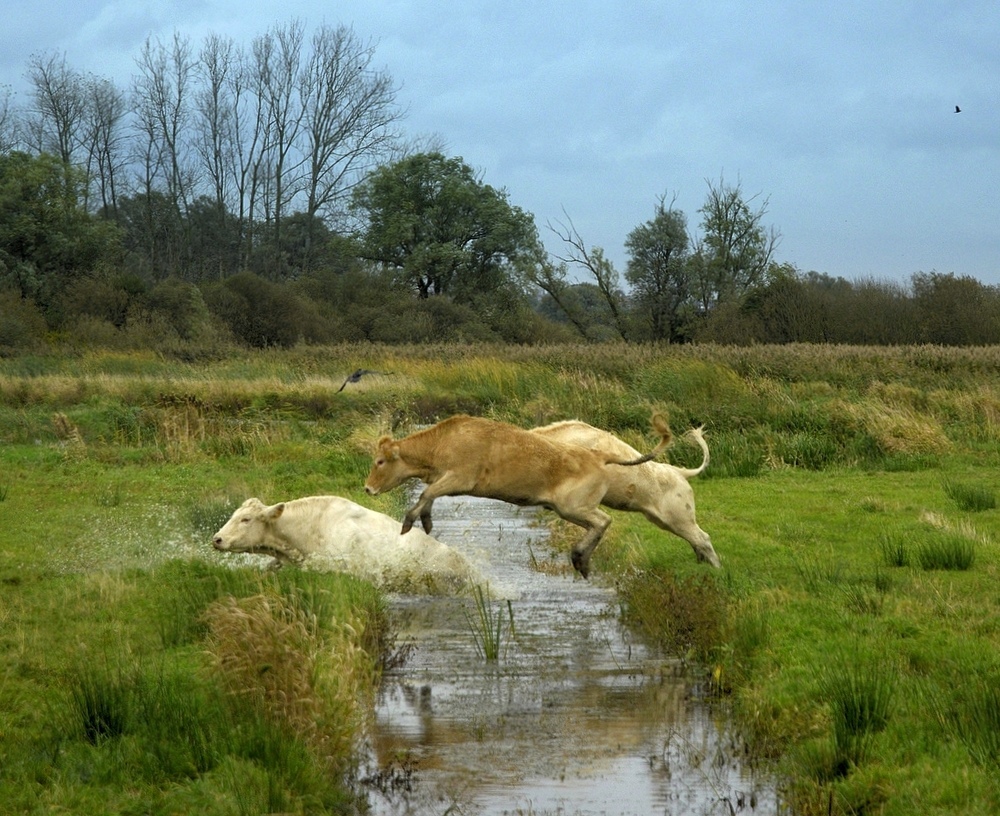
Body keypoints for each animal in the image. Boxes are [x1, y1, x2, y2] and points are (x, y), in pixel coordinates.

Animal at [363, 413, 672, 579]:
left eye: (380, 461)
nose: (367, 488)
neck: (443, 443)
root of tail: (598, 454)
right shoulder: (445, 479)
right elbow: (428, 496)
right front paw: (425, 521)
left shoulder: (460, 477)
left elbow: (426, 493)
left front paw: (409, 522)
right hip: (569, 509)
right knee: (601, 523)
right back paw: (581, 561)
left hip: (573, 507)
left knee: (603, 521)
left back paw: (580, 558)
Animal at [531, 420, 720, 568]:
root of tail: (680, 472)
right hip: (664, 520)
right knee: (696, 541)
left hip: (679, 516)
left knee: (703, 538)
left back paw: (716, 569)